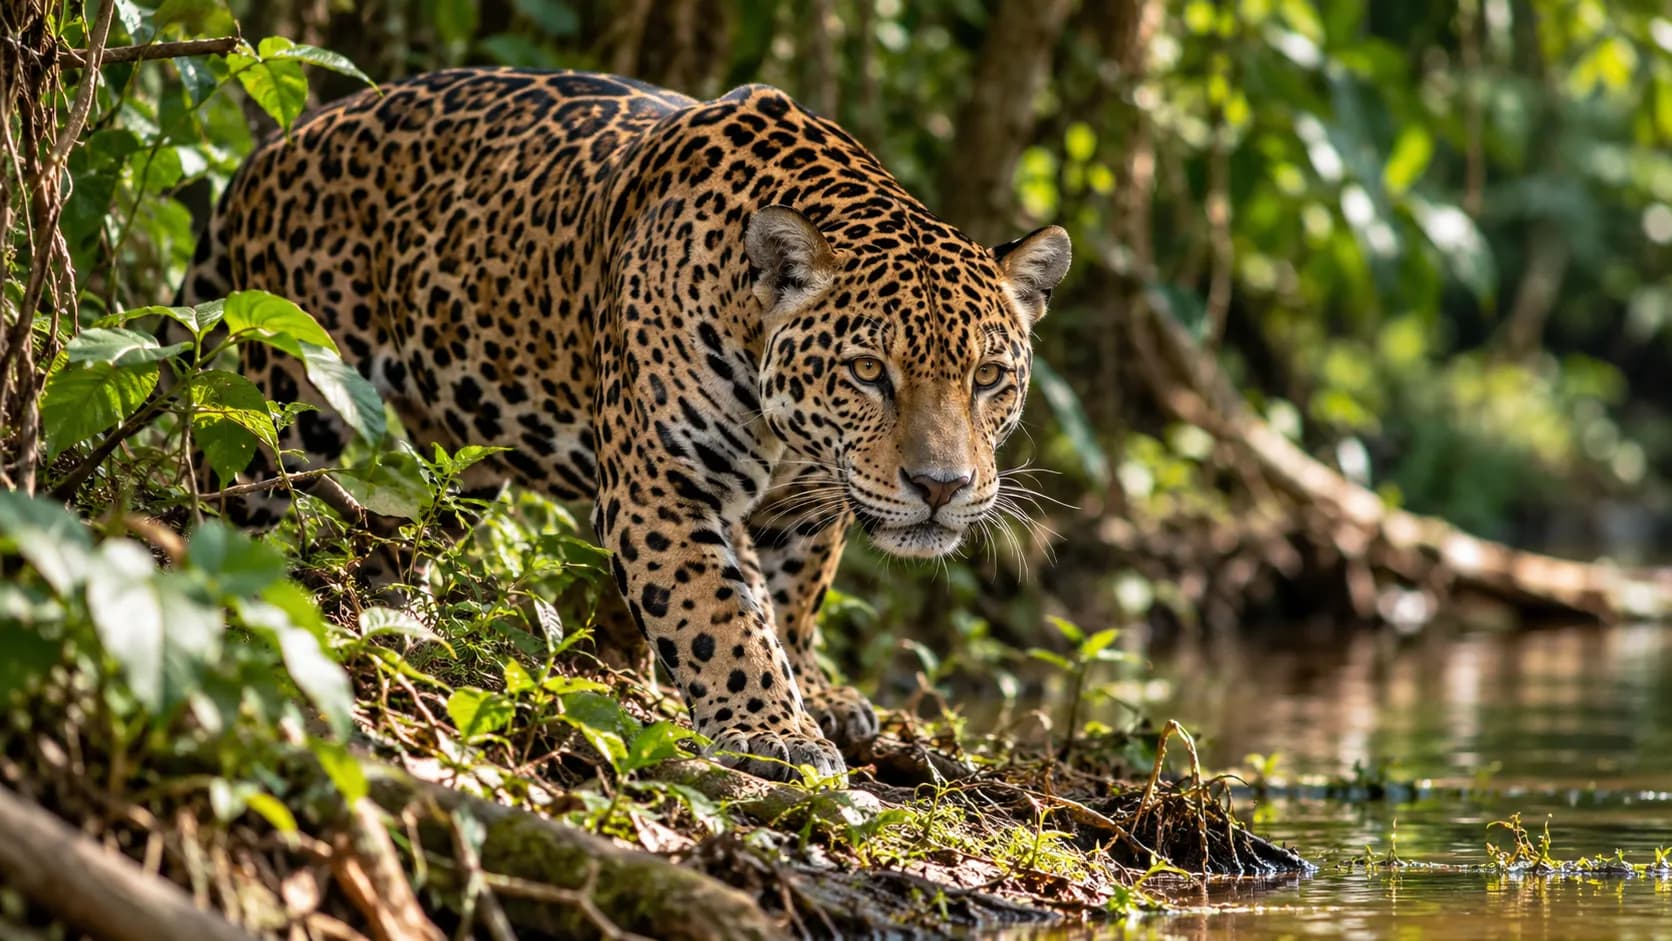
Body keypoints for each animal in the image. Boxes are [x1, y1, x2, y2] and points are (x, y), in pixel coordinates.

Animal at [181, 68, 1071, 781]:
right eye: (867, 372)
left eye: (988, 378)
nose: (941, 487)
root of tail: (271, 149)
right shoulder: (664, 488)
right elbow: (719, 614)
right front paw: (772, 729)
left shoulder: (808, 504)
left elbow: (791, 600)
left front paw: (811, 689)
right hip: (283, 396)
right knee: (227, 491)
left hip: (461, 453)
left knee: (404, 531)